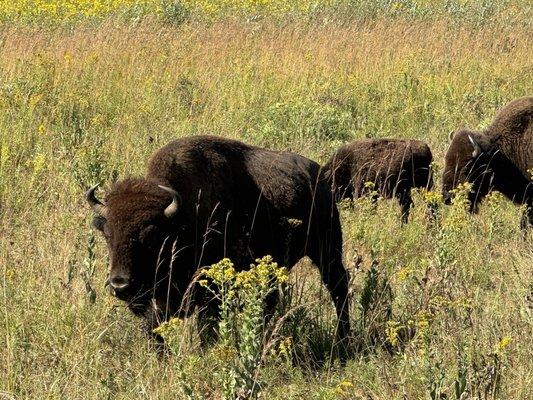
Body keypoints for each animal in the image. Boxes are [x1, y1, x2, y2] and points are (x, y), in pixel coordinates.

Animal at [85, 134, 352, 346]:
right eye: (107, 234)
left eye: (152, 235)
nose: (120, 284)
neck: (183, 219)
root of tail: (319, 178)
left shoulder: (210, 290)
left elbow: (206, 327)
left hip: (327, 250)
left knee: (338, 286)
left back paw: (343, 339)